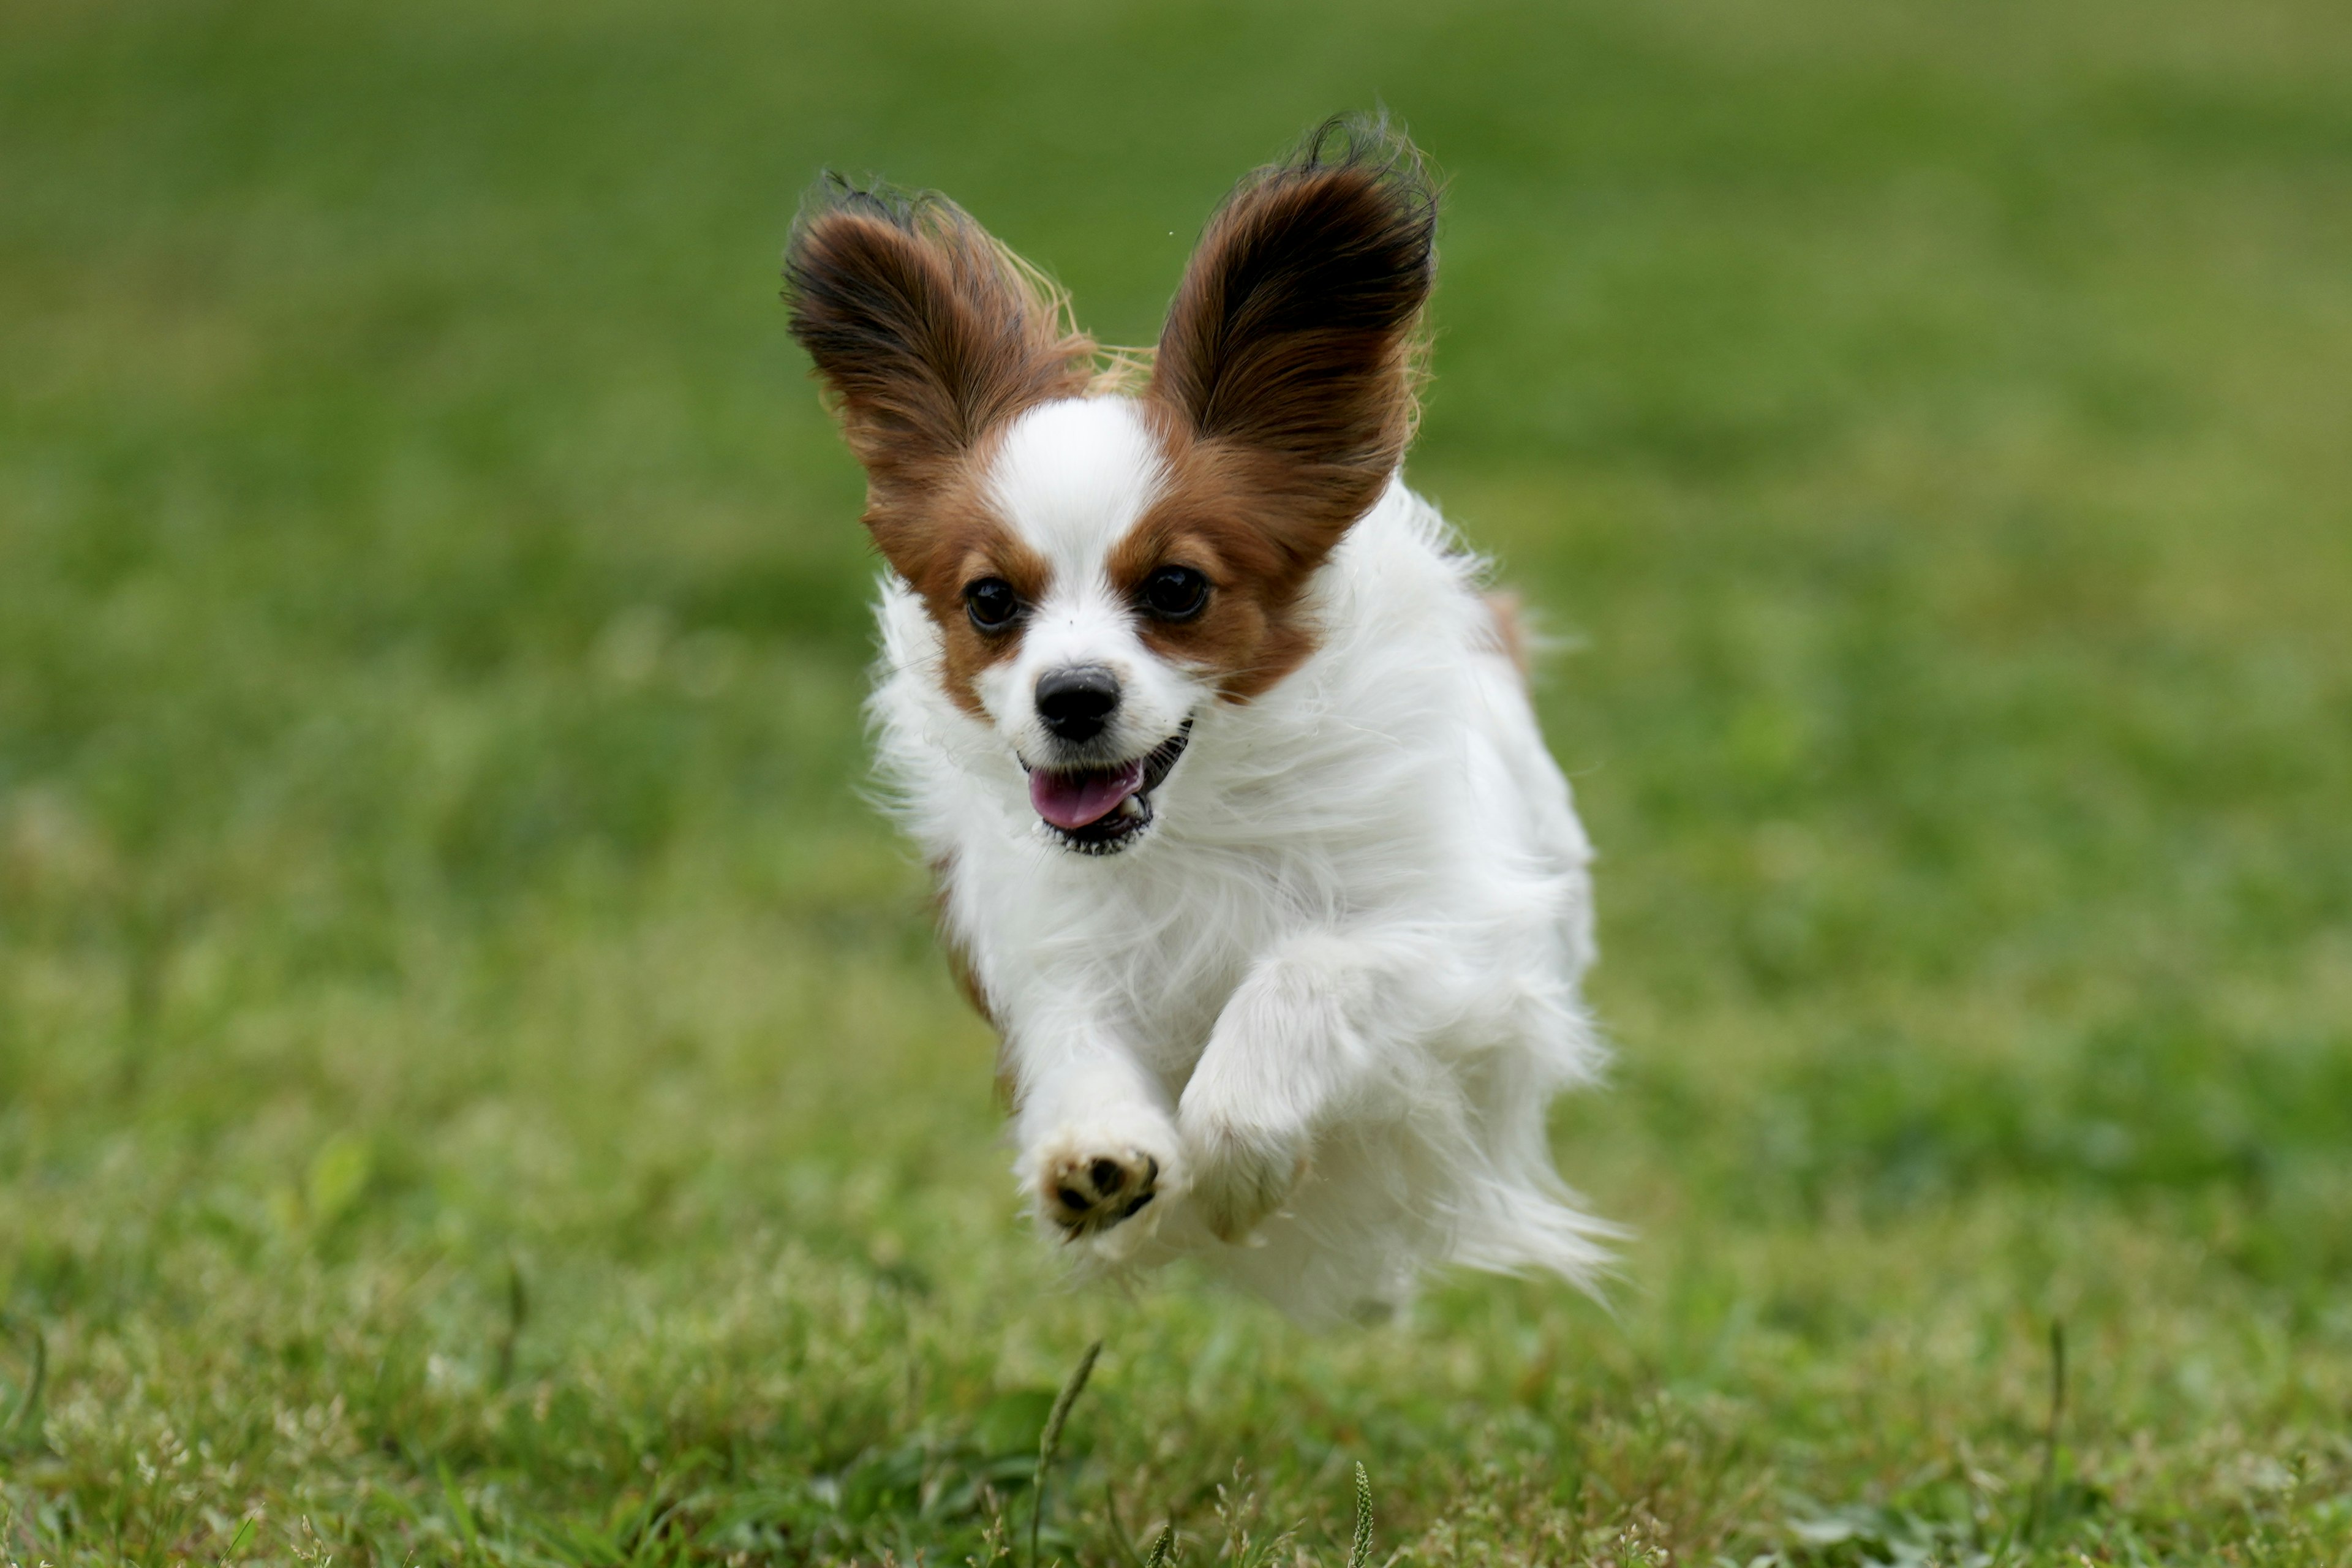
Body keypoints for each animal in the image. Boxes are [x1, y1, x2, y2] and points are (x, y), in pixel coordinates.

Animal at [780, 119, 1608, 1325]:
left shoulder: (1461, 948)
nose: (1072, 695)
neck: (1196, 824)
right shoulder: (1055, 946)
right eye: (991, 602)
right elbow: (1077, 1038)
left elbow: (1302, 976)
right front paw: (1096, 1156)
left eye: (1176, 589)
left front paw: (1235, 1153)